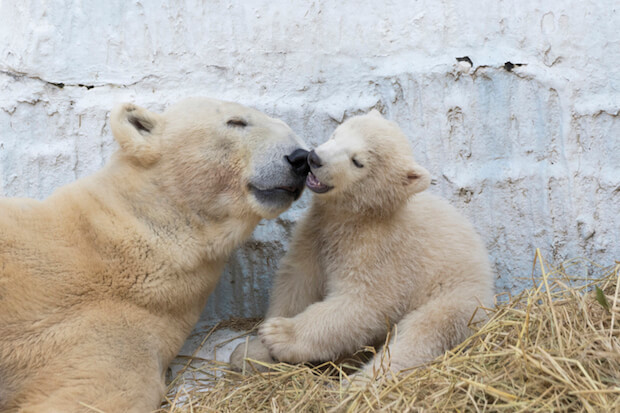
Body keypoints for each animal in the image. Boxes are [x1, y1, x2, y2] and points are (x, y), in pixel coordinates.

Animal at [232, 110, 494, 380]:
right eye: (336, 135)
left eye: (357, 161)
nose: (314, 158)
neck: (362, 215)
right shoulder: (316, 230)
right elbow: (297, 281)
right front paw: (253, 352)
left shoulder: (382, 249)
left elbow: (363, 303)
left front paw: (279, 334)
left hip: (455, 298)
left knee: (420, 336)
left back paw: (361, 381)